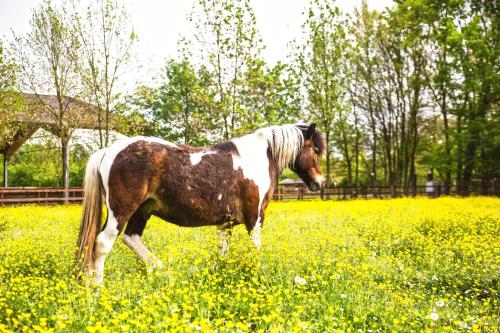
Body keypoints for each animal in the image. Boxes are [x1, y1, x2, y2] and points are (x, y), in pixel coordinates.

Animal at [74, 123, 324, 282]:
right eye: (315, 149)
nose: (320, 182)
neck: (256, 159)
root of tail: (109, 151)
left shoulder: (225, 223)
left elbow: (223, 254)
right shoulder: (255, 219)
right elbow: (256, 250)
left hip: (142, 211)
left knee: (131, 238)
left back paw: (162, 271)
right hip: (121, 210)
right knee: (102, 244)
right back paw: (97, 288)